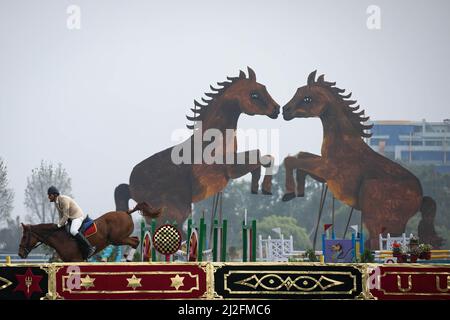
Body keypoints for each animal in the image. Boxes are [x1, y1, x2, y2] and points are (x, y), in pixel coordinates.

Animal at [18, 202, 162, 262]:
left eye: (24, 236)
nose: (20, 254)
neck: (59, 237)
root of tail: (126, 212)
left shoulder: (76, 259)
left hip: (117, 239)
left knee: (135, 241)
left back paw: (128, 258)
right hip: (118, 239)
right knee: (135, 240)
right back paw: (126, 257)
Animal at [114, 67, 280, 226]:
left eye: (264, 88)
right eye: (254, 95)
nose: (277, 109)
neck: (213, 140)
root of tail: (130, 186)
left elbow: (262, 155)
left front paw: (257, 187)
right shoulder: (230, 169)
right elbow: (259, 155)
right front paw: (263, 187)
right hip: (175, 210)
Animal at [284, 71, 442, 249]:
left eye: (307, 98)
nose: (284, 110)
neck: (343, 143)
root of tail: (421, 198)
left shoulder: (327, 169)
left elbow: (291, 160)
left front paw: (288, 193)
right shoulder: (322, 172)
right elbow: (301, 156)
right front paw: (296, 192)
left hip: (376, 212)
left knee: (377, 242)